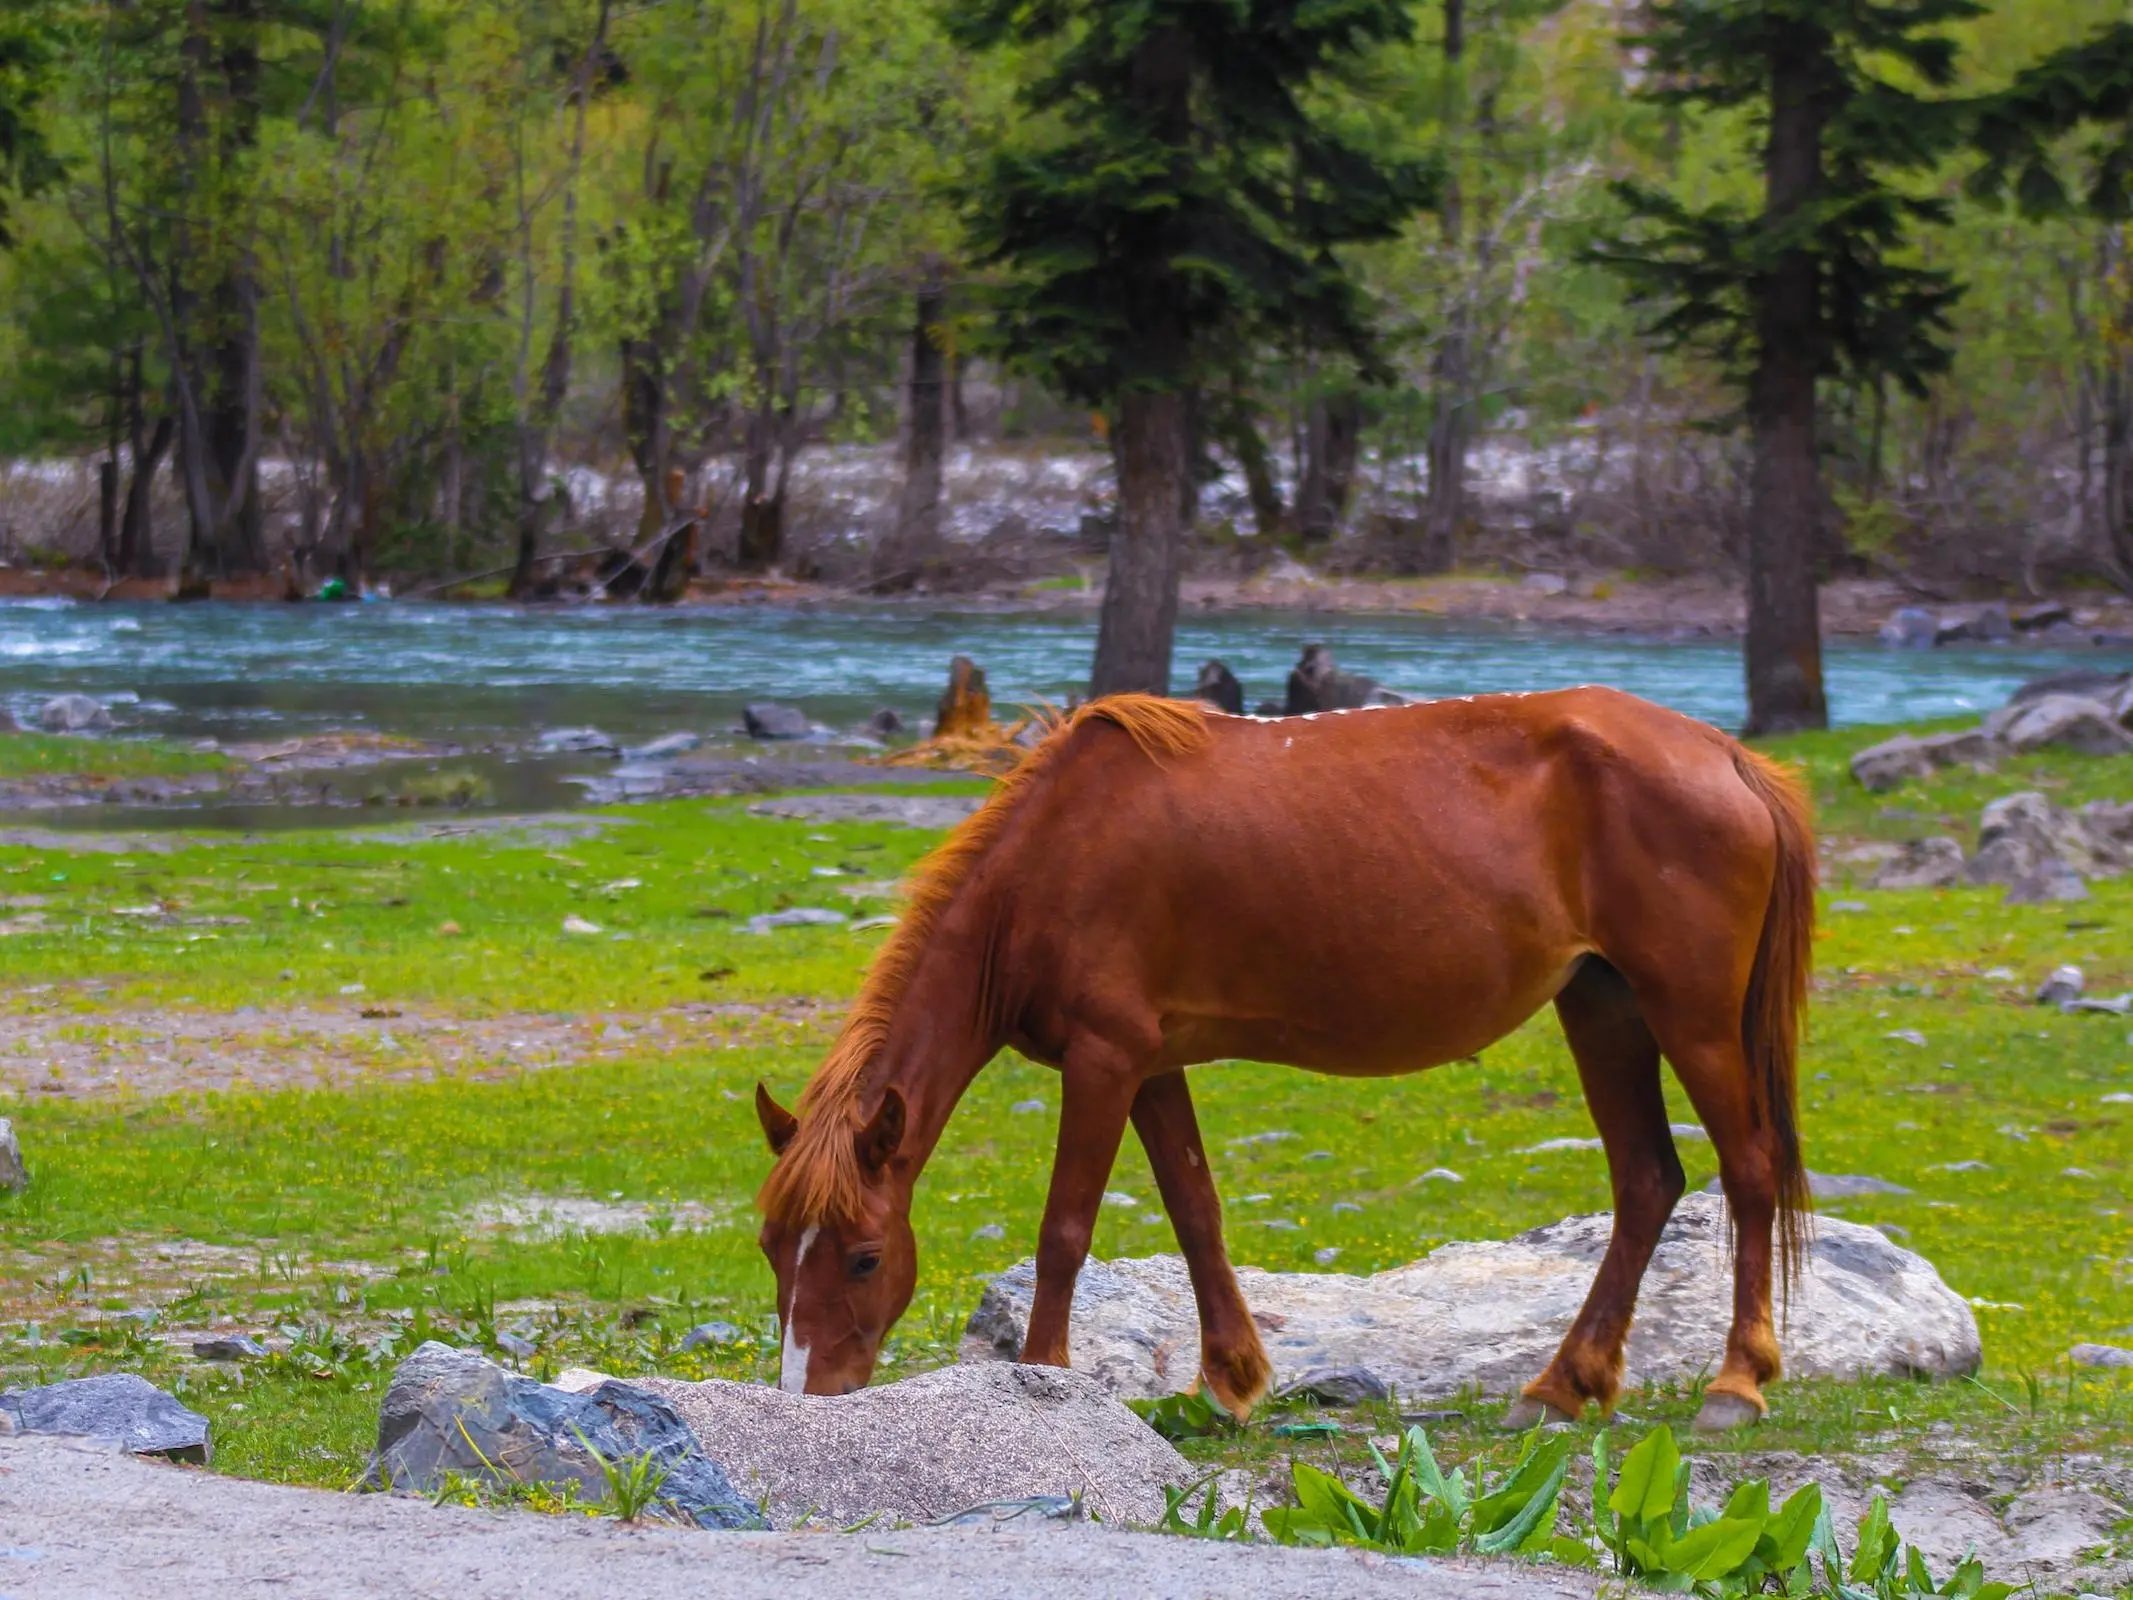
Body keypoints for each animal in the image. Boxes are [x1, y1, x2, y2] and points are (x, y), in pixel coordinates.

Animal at [759, 686, 1808, 1425]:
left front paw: (1044, 1379)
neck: (1052, 857)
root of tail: (1724, 754)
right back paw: (1560, 1386)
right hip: (1602, 1007)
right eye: (773, 1247)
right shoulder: (1150, 1065)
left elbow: (1065, 1231)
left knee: (1748, 1170)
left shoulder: (1103, 1061)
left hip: (1690, 1015)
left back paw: (1735, 1384)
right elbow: (1195, 1213)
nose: (807, 1395)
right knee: (1646, 1181)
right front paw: (1231, 1381)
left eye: (863, 1257)